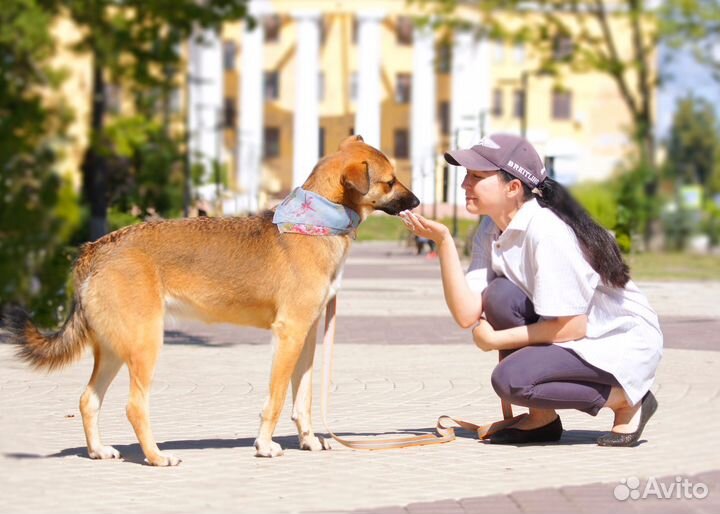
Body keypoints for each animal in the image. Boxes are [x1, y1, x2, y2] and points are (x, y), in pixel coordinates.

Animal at [5, 136, 420, 464]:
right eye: (389, 181)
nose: (416, 201)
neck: (314, 223)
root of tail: (96, 248)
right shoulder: (288, 334)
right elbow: (275, 400)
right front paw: (264, 446)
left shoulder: (306, 337)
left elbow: (301, 398)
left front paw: (309, 440)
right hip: (144, 344)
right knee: (134, 406)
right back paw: (156, 457)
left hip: (113, 348)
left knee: (88, 400)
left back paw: (99, 451)